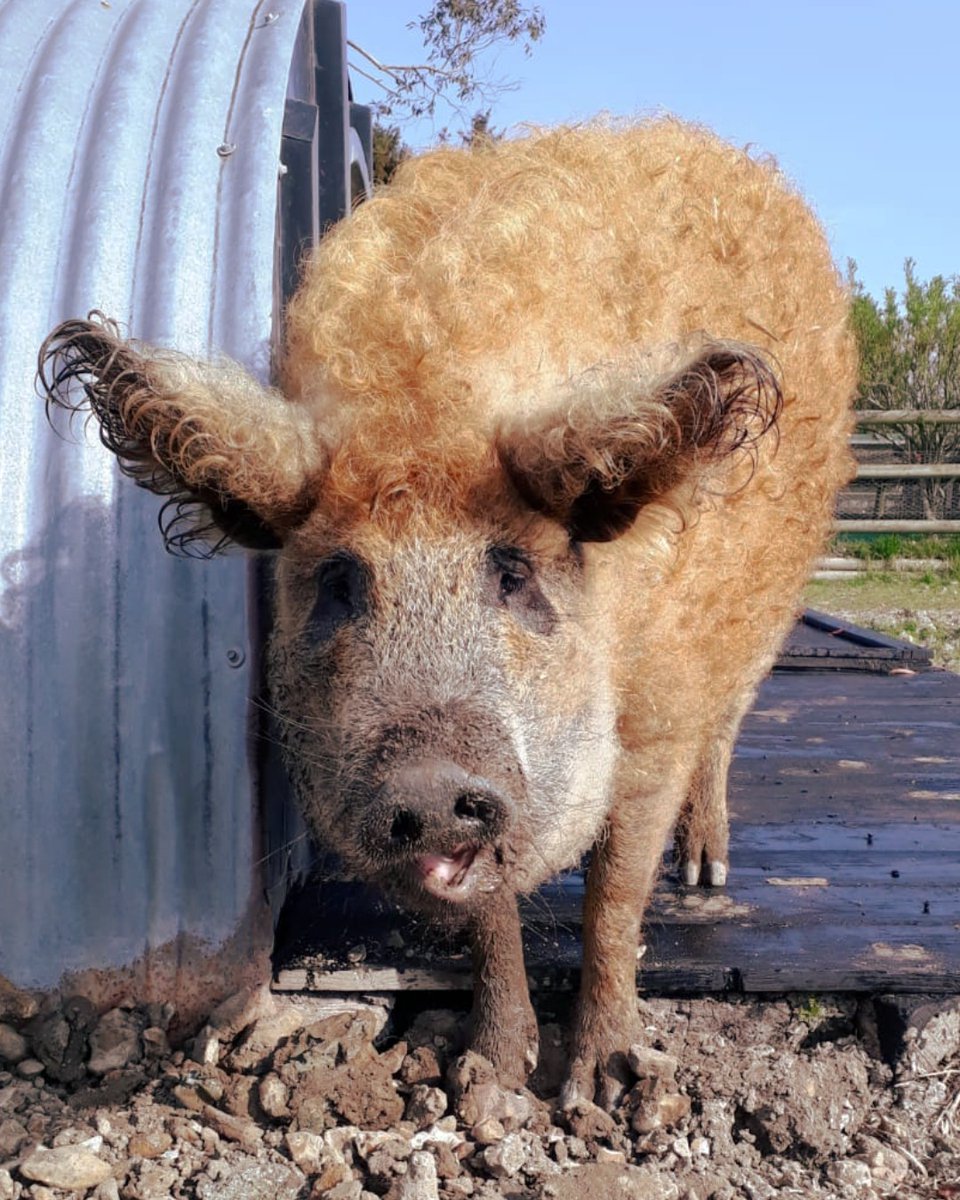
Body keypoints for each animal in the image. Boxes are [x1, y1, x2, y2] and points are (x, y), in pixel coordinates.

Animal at [41, 119, 854, 1104]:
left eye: (512, 575)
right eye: (340, 582)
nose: (429, 786)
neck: (428, 409)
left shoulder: (657, 710)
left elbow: (615, 895)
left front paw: (604, 1089)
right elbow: (489, 915)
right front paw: (491, 1076)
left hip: (756, 626)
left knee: (726, 732)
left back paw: (703, 871)